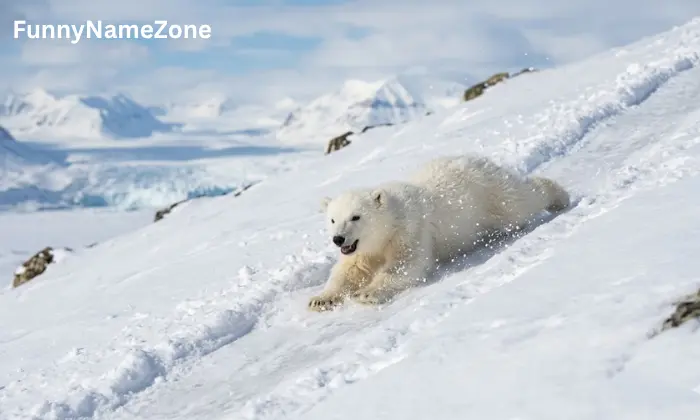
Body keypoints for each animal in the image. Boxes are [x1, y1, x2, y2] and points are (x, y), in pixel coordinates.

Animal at [308, 154, 570, 312]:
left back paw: (559, 196)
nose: (338, 239)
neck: (390, 223)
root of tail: (481, 159)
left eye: (356, 217)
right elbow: (347, 271)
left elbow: (405, 265)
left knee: (521, 201)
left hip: (492, 195)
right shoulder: (361, 251)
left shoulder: (409, 230)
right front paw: (320, 299)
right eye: (333, 219)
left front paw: (367, 294)